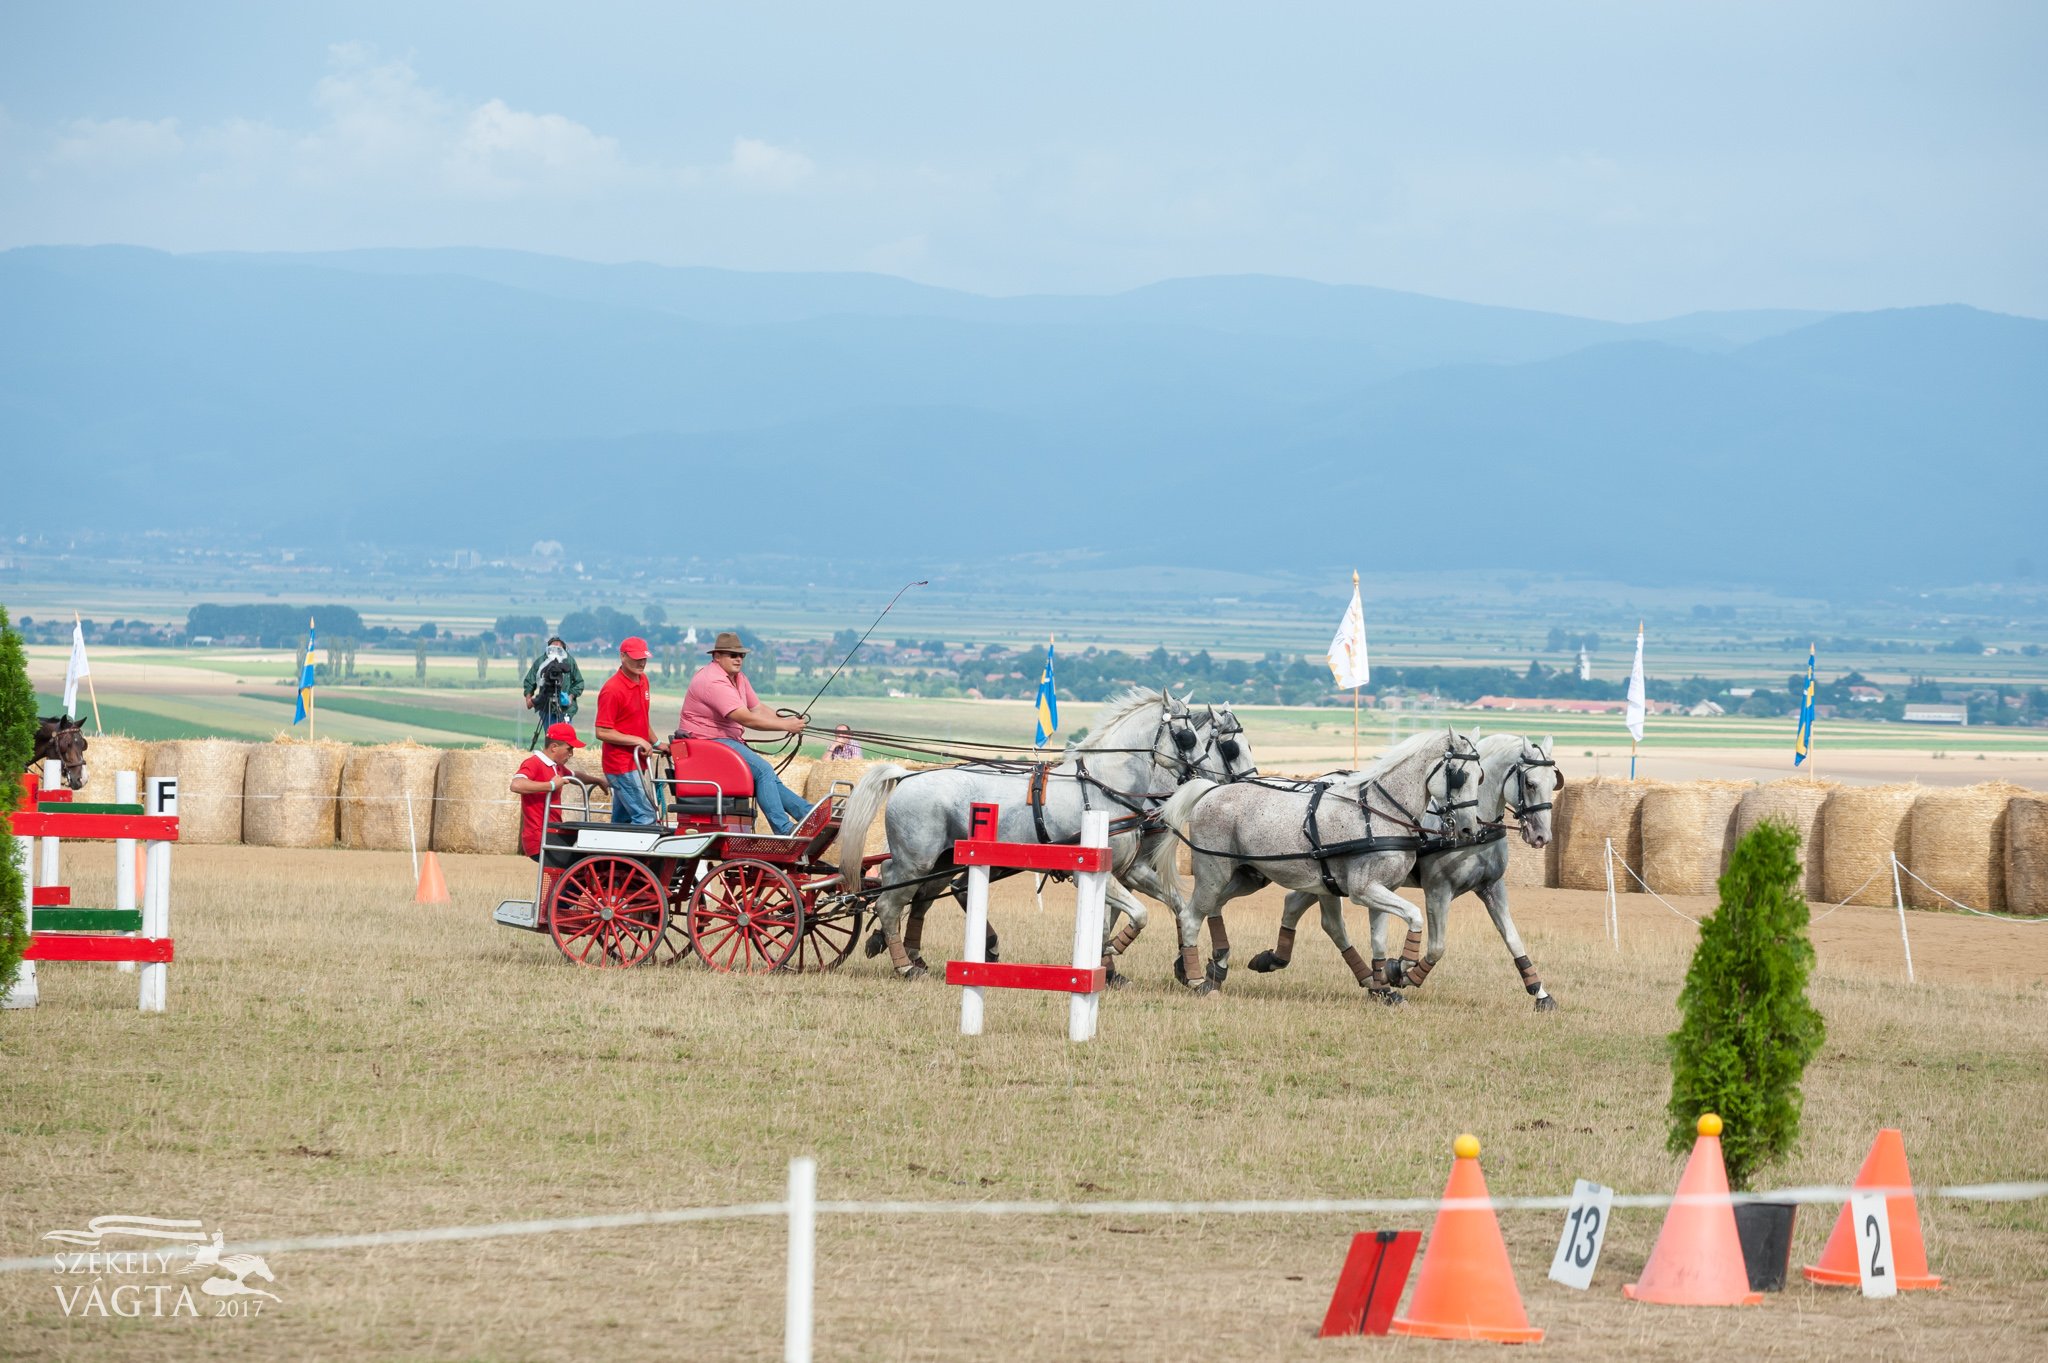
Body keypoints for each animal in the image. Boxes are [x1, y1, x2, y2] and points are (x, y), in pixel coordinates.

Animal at [835, 691, 1253, 978]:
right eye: (1187, 738)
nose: (1210, 778)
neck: (1106, 788)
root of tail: (905, 775)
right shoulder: (1100, 871)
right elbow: (1135, 914)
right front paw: (1113, 954)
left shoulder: (1129, 868)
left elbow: (1165, 909)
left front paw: (1168, 965)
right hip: (917, 861)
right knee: (890, 902)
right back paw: (905, 964)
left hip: (937, 860)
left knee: (915, 896)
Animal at [1163, 720, 1482, 998]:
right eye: (1459, 776)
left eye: (1480, 777)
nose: (1469, 829)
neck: (1381, 812)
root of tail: (1211, 790)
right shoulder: (1363, 890)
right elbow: (1414, 914)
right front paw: (1402, 966)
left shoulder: (1382, 890)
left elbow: (1378, 940)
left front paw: (1384, 986)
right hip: (1213, 871)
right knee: (1191, 915)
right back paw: (1196, 980)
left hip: (1246, 876)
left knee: (1212, 908)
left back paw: (1211, 968)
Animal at [1245, 732, 1564, 1006]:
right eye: (1530, 783)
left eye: (1553, 783)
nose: (1541, 837)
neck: (1475, 829)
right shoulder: (1438, 889)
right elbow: (1436, 946)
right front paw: (1402, 972)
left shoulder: (1492, 887)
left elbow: (1513, 939)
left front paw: (1540, 993)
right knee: (1330, 923)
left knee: (1295, 904)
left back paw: (1275, 959)